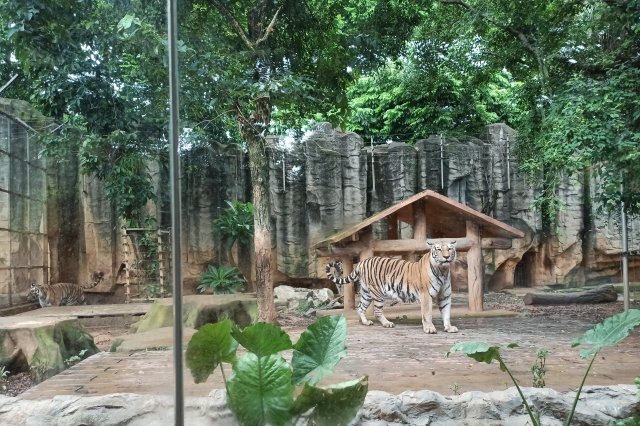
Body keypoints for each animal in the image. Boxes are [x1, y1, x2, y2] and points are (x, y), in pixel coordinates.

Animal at [328, 241, 458, 334]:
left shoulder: (445, 296)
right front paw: (429, 328)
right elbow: (427, 314)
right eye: (439, 249)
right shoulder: (426, 295)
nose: (446, 257)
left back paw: (366, 322)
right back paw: (387, 323)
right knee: (377, 311)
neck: (443, 270)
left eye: (450, 248)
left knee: (360, 307)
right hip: (377, 292)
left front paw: (449, 327)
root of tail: (362, 262)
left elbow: (446, 313)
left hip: (366, 293)